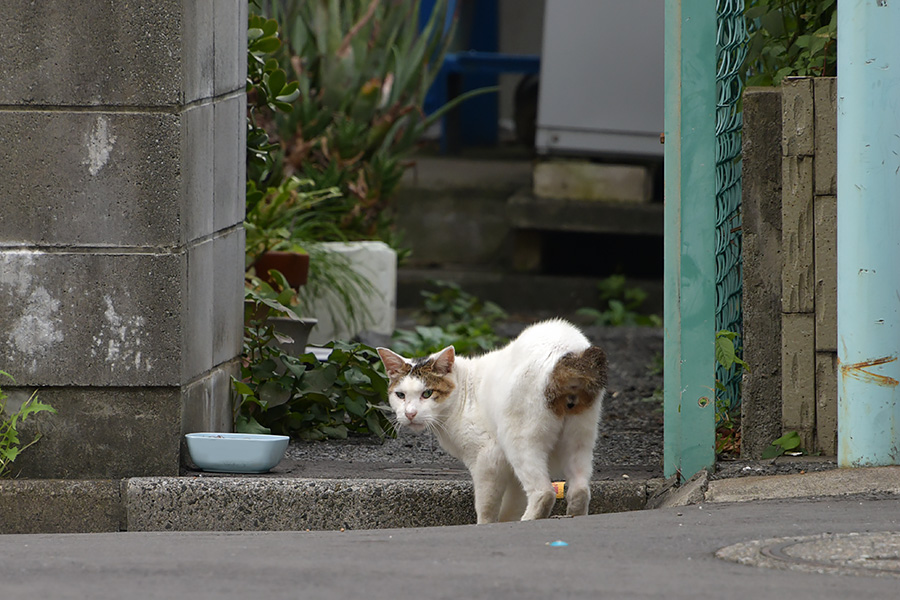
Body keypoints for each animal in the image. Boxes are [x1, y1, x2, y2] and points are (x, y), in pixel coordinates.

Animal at [376, 322, 608, 524]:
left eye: (427, 393)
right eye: (400, 395)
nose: (410, 413)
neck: (464, 391)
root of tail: (565, 353)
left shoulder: (488, 458)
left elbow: (486, 505)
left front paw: (487, 524)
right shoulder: (510, 471)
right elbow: (513, 502)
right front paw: (506, 520)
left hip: (519, 441)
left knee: (544, 492)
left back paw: (528, 520)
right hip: (579, 439)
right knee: (580, 490)